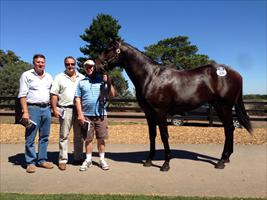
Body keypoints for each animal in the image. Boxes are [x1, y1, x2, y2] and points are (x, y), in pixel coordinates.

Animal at [96, 39, 253, 171]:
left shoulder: (160, 111)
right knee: (229, 128)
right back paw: (225, 158)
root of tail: (236, 74)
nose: (96, 65)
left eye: (108, 49)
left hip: (224, 106)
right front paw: (149, 161)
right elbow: (152, 135)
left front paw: (166, 164)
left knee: (229, 129)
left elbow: (164, 135)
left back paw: (221, 161)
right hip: (219, 106)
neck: (151, 77)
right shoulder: (149, 113)